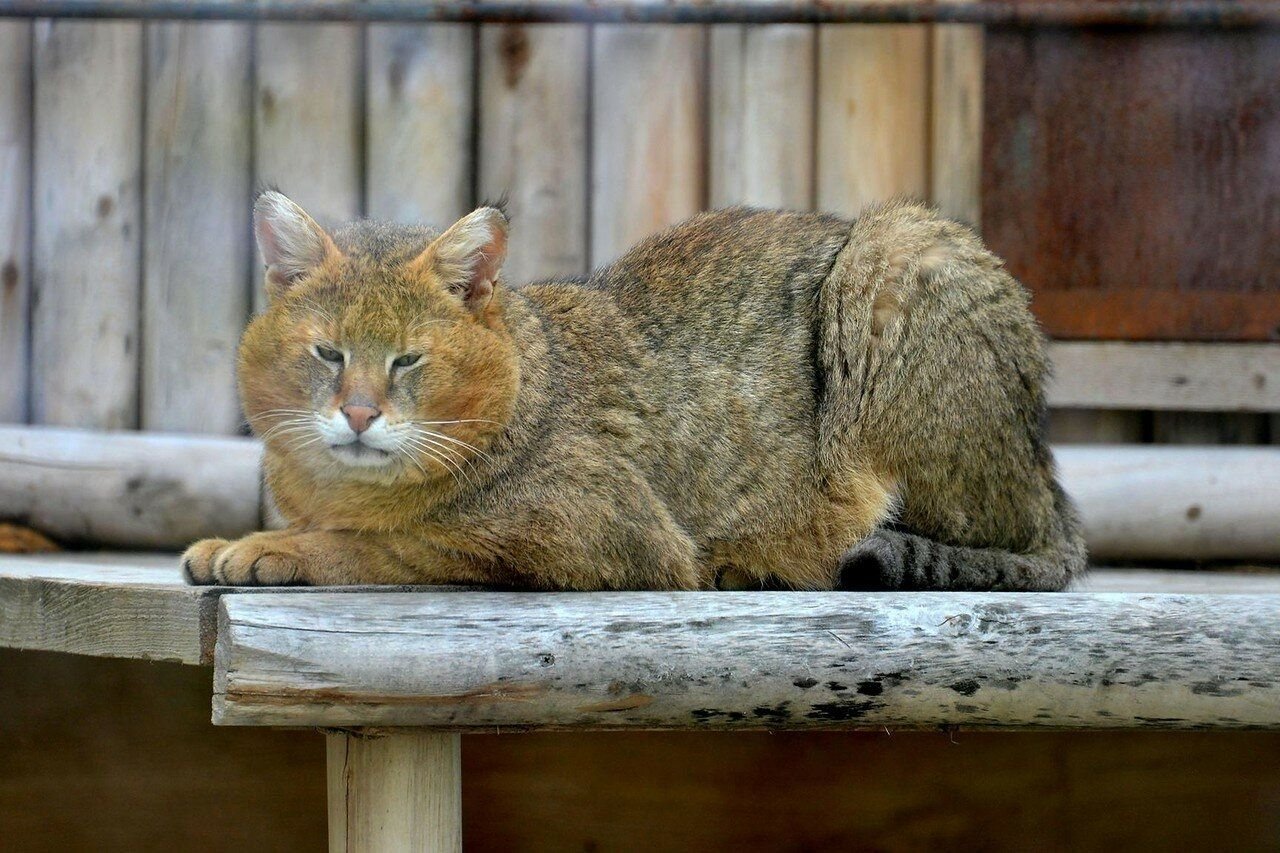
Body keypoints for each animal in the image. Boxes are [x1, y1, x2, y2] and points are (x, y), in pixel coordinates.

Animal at [177, 190, 1080, 591]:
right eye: (328, 353)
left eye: (408, 360)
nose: (359, 413)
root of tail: (1048, 480)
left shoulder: (600, 536)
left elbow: (389, 544)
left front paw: (264, 547)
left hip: (900, 248)